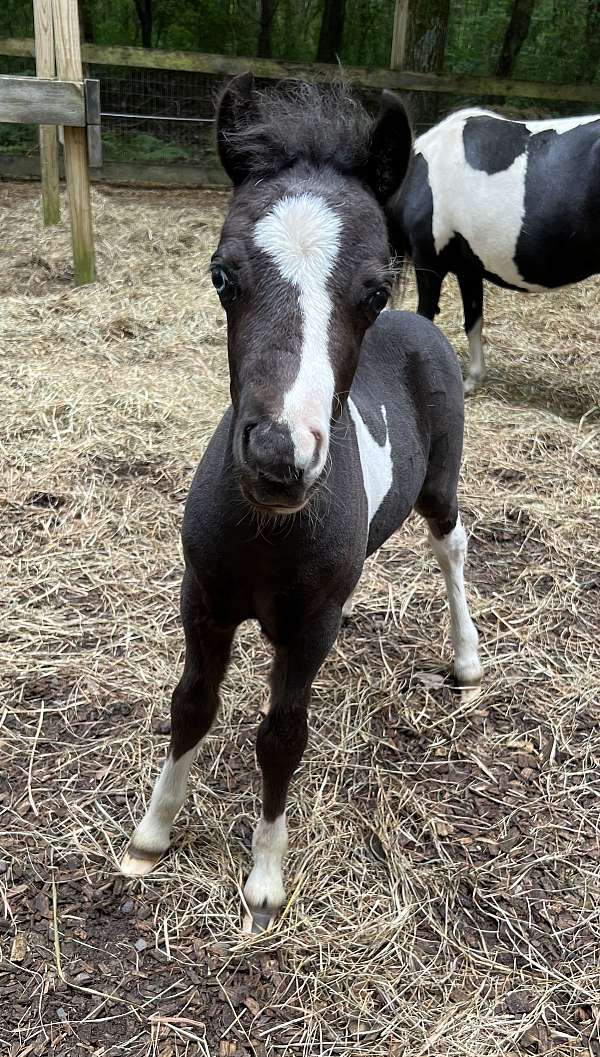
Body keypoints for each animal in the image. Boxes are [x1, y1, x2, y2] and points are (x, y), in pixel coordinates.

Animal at [122, 76, 483, 934]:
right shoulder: (204, 597)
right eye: (222, 275)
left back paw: (466, 658)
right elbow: (192, 702)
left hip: (440, 486)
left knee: (451, 547)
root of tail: (424, 326)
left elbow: (283, 733)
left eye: (374, 287)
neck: (269, 532)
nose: (279, 455)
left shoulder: (310, 622)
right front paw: (152, 833)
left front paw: (264, 879)